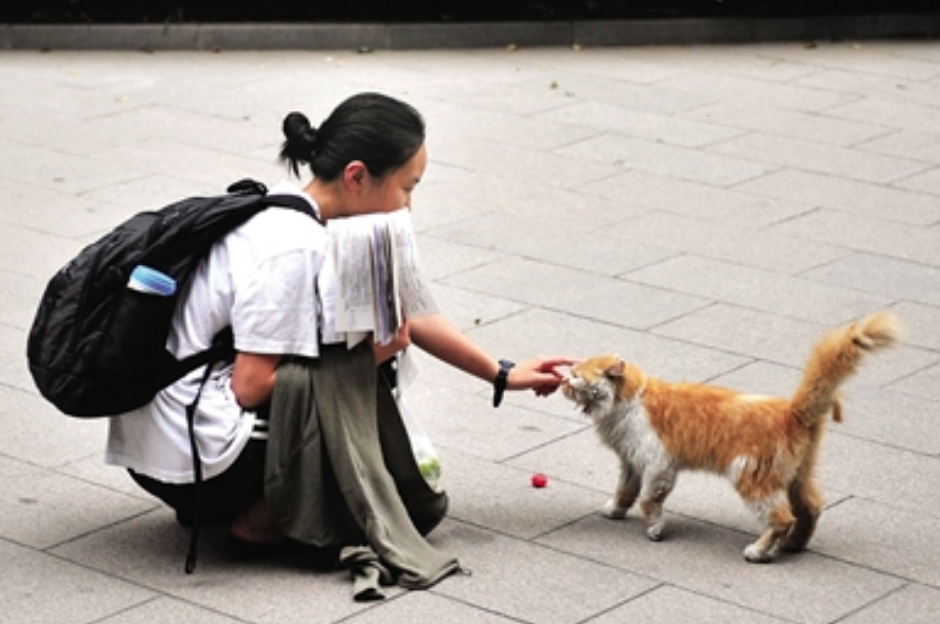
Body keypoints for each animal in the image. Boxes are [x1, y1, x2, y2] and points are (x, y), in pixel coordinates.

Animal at [560, 314, 900, 564]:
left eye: (576, 375)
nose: (562, 381)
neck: (626, 405)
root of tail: (791, 410)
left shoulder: (659, 465)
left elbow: (648, 500)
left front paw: (655, 528)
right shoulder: (632, 461)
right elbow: (626, 491)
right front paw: (615, 510)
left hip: (749, 475)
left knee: (781, 518)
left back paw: (759, 552)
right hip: (796, 477)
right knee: (811, 508)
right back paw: (793, 545)